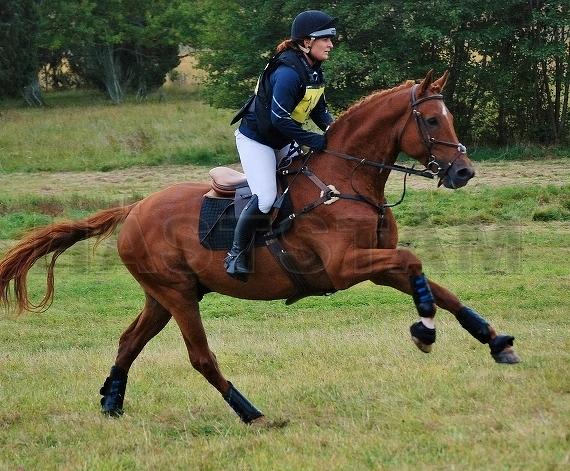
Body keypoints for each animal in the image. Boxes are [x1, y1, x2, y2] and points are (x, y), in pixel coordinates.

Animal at [0, 71, 516, 428]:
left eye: (448, 117)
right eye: (430, 120)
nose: (464, 172)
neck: (346, 180)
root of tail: (135, 208)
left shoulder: (374, 266)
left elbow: (437, 286)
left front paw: (495, 341)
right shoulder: (346, 267)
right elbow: (416, 265)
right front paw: (424, 330)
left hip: (163, 296)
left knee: (130, 341)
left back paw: (112, 401)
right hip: (178, 296)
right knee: (200, 357)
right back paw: (250, 412)